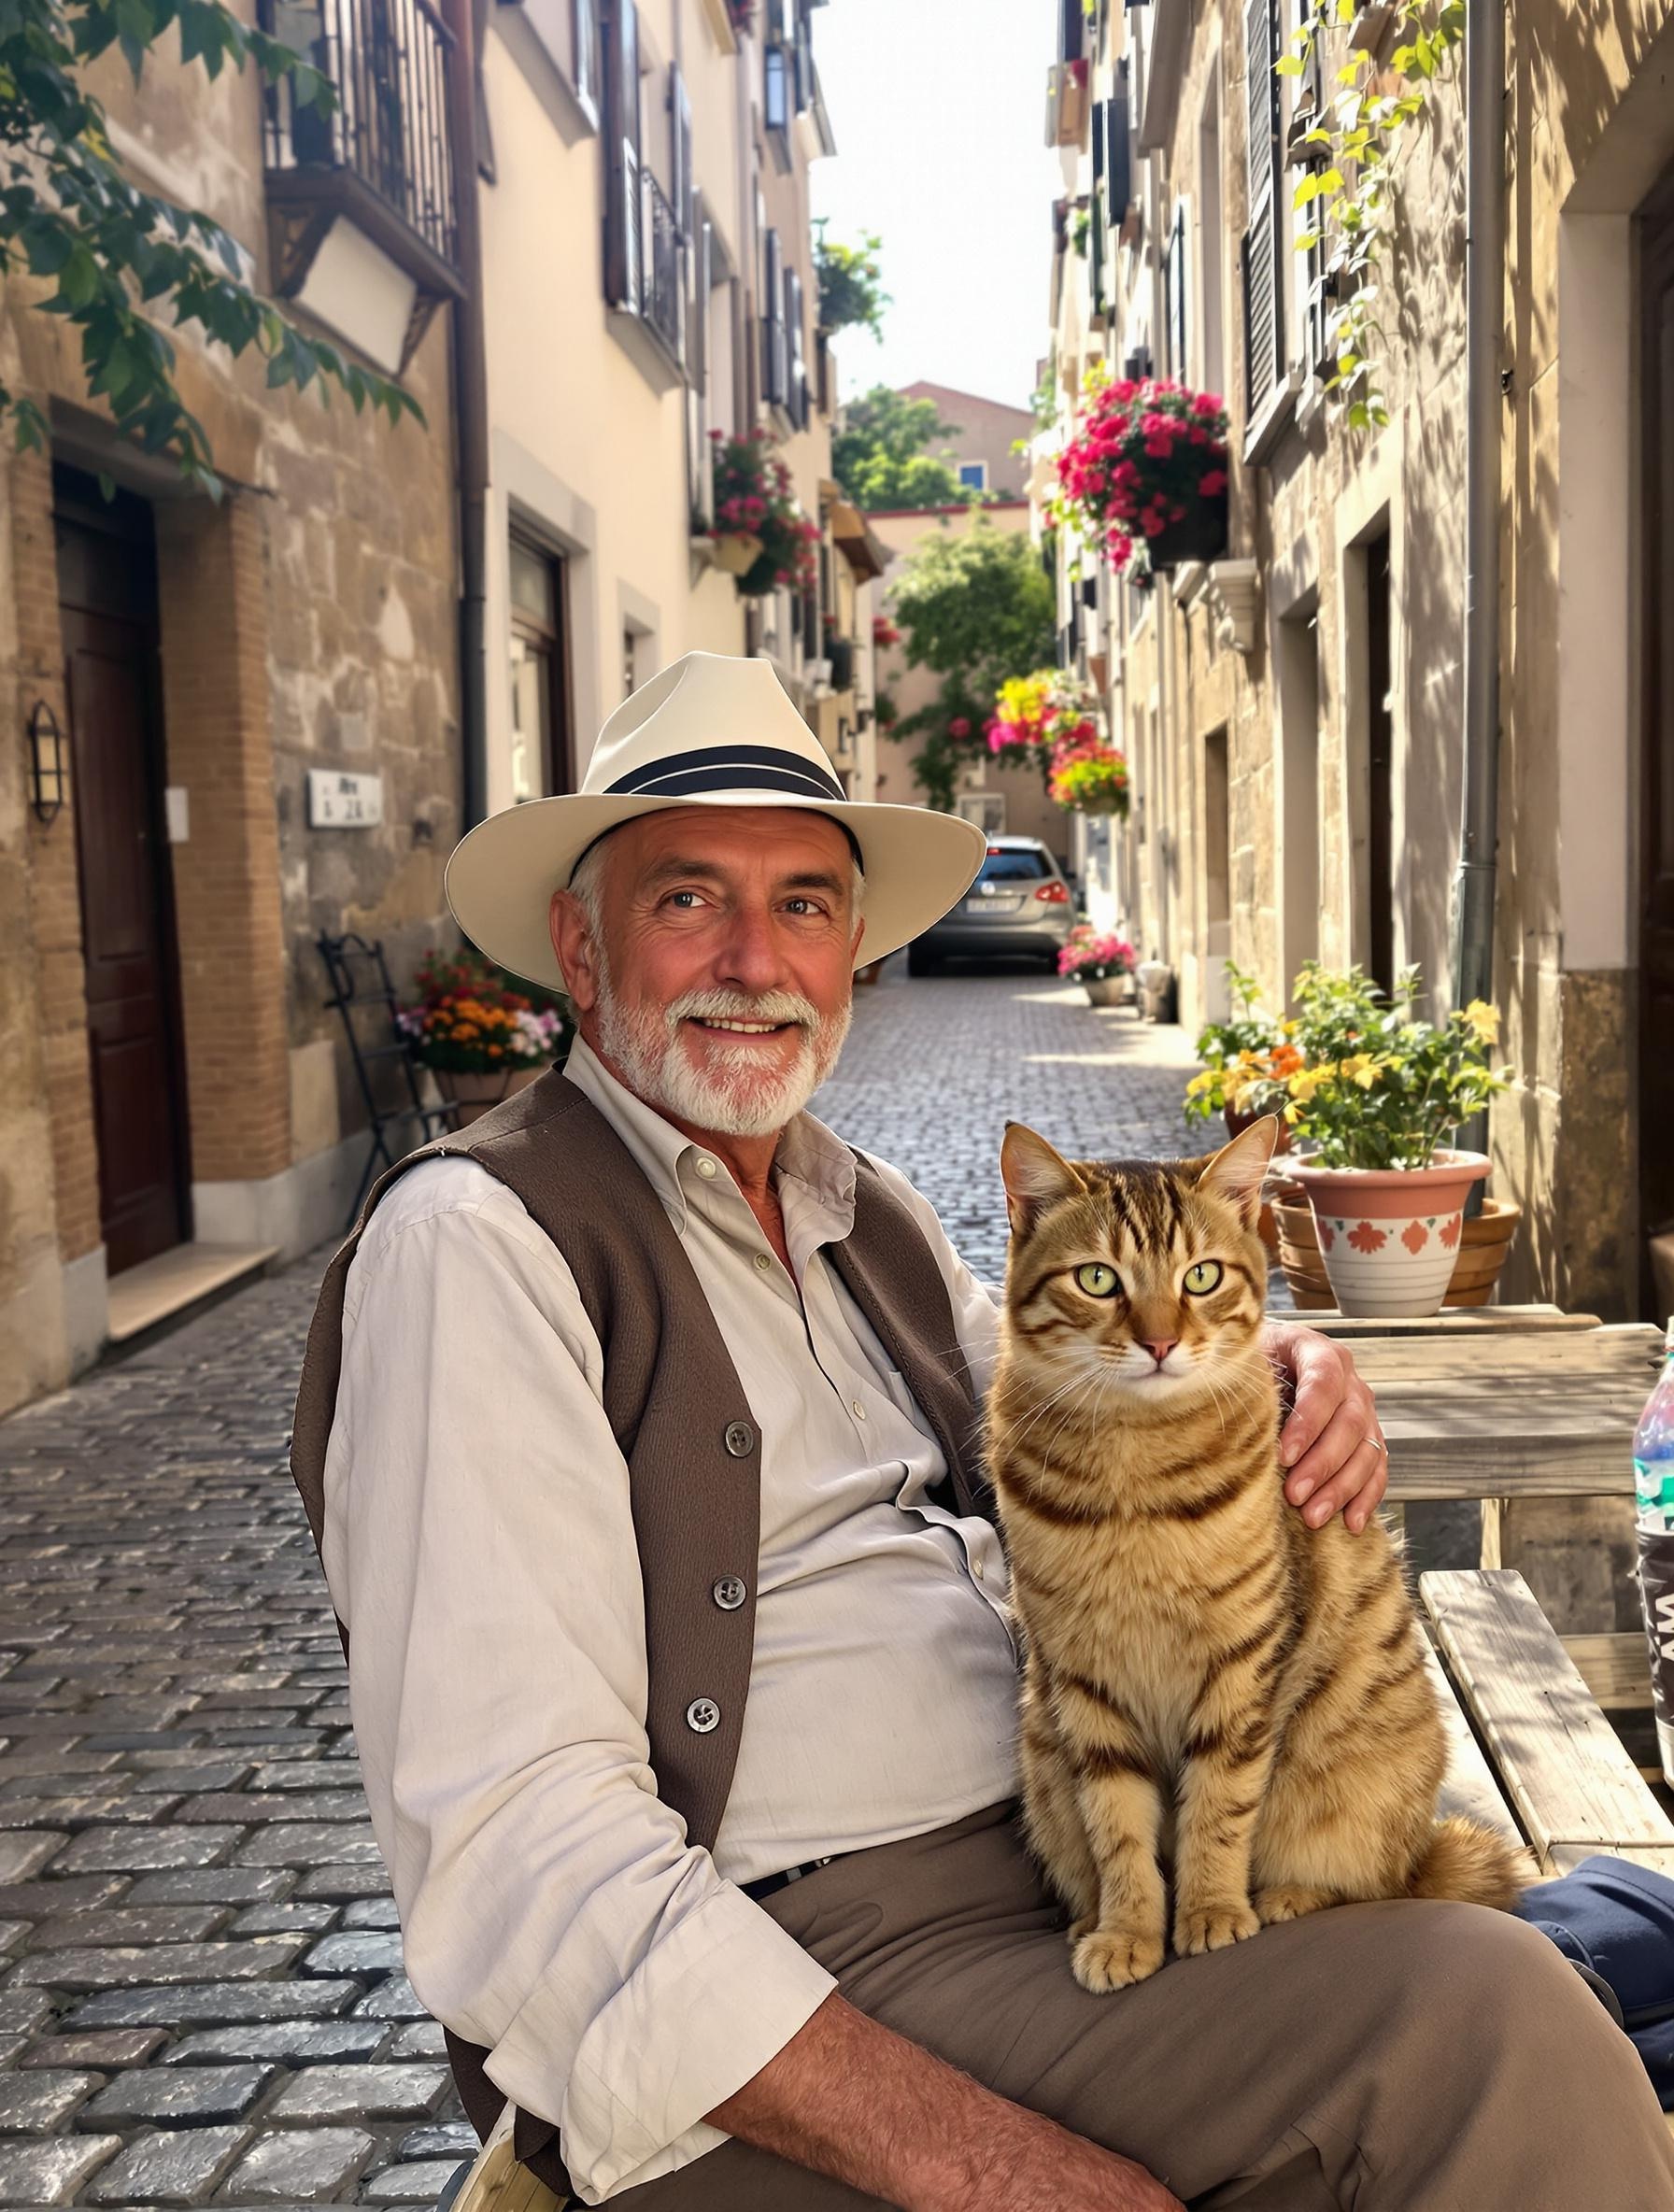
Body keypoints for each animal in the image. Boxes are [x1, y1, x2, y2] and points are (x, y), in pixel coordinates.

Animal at [990, 1114, 1530, 1999]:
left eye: (1202, 1276)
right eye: (1098, 1280)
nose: (1160, 1341)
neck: (1135, 1478)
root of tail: (1422, 1848)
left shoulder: (1243, 1664)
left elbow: (1219, 1804)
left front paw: (1209, 1908)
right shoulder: (1082, 1680)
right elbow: (1118, 1829)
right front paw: (1127, 1929)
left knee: (1369, 1878)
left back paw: (1285, 1894)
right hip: (1043, 1761)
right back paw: (1087, 1917)